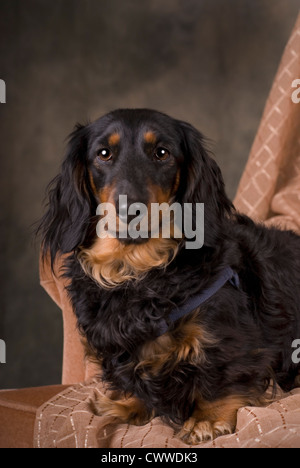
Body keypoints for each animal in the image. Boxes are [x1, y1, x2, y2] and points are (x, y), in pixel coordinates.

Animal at [38, 109, 300, 442]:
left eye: (162, 153)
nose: (129, 209)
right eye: (103, 154)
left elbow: (222, 377)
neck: (139, 271)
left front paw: (207, 419)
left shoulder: (234, 342)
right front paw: (125, 404)